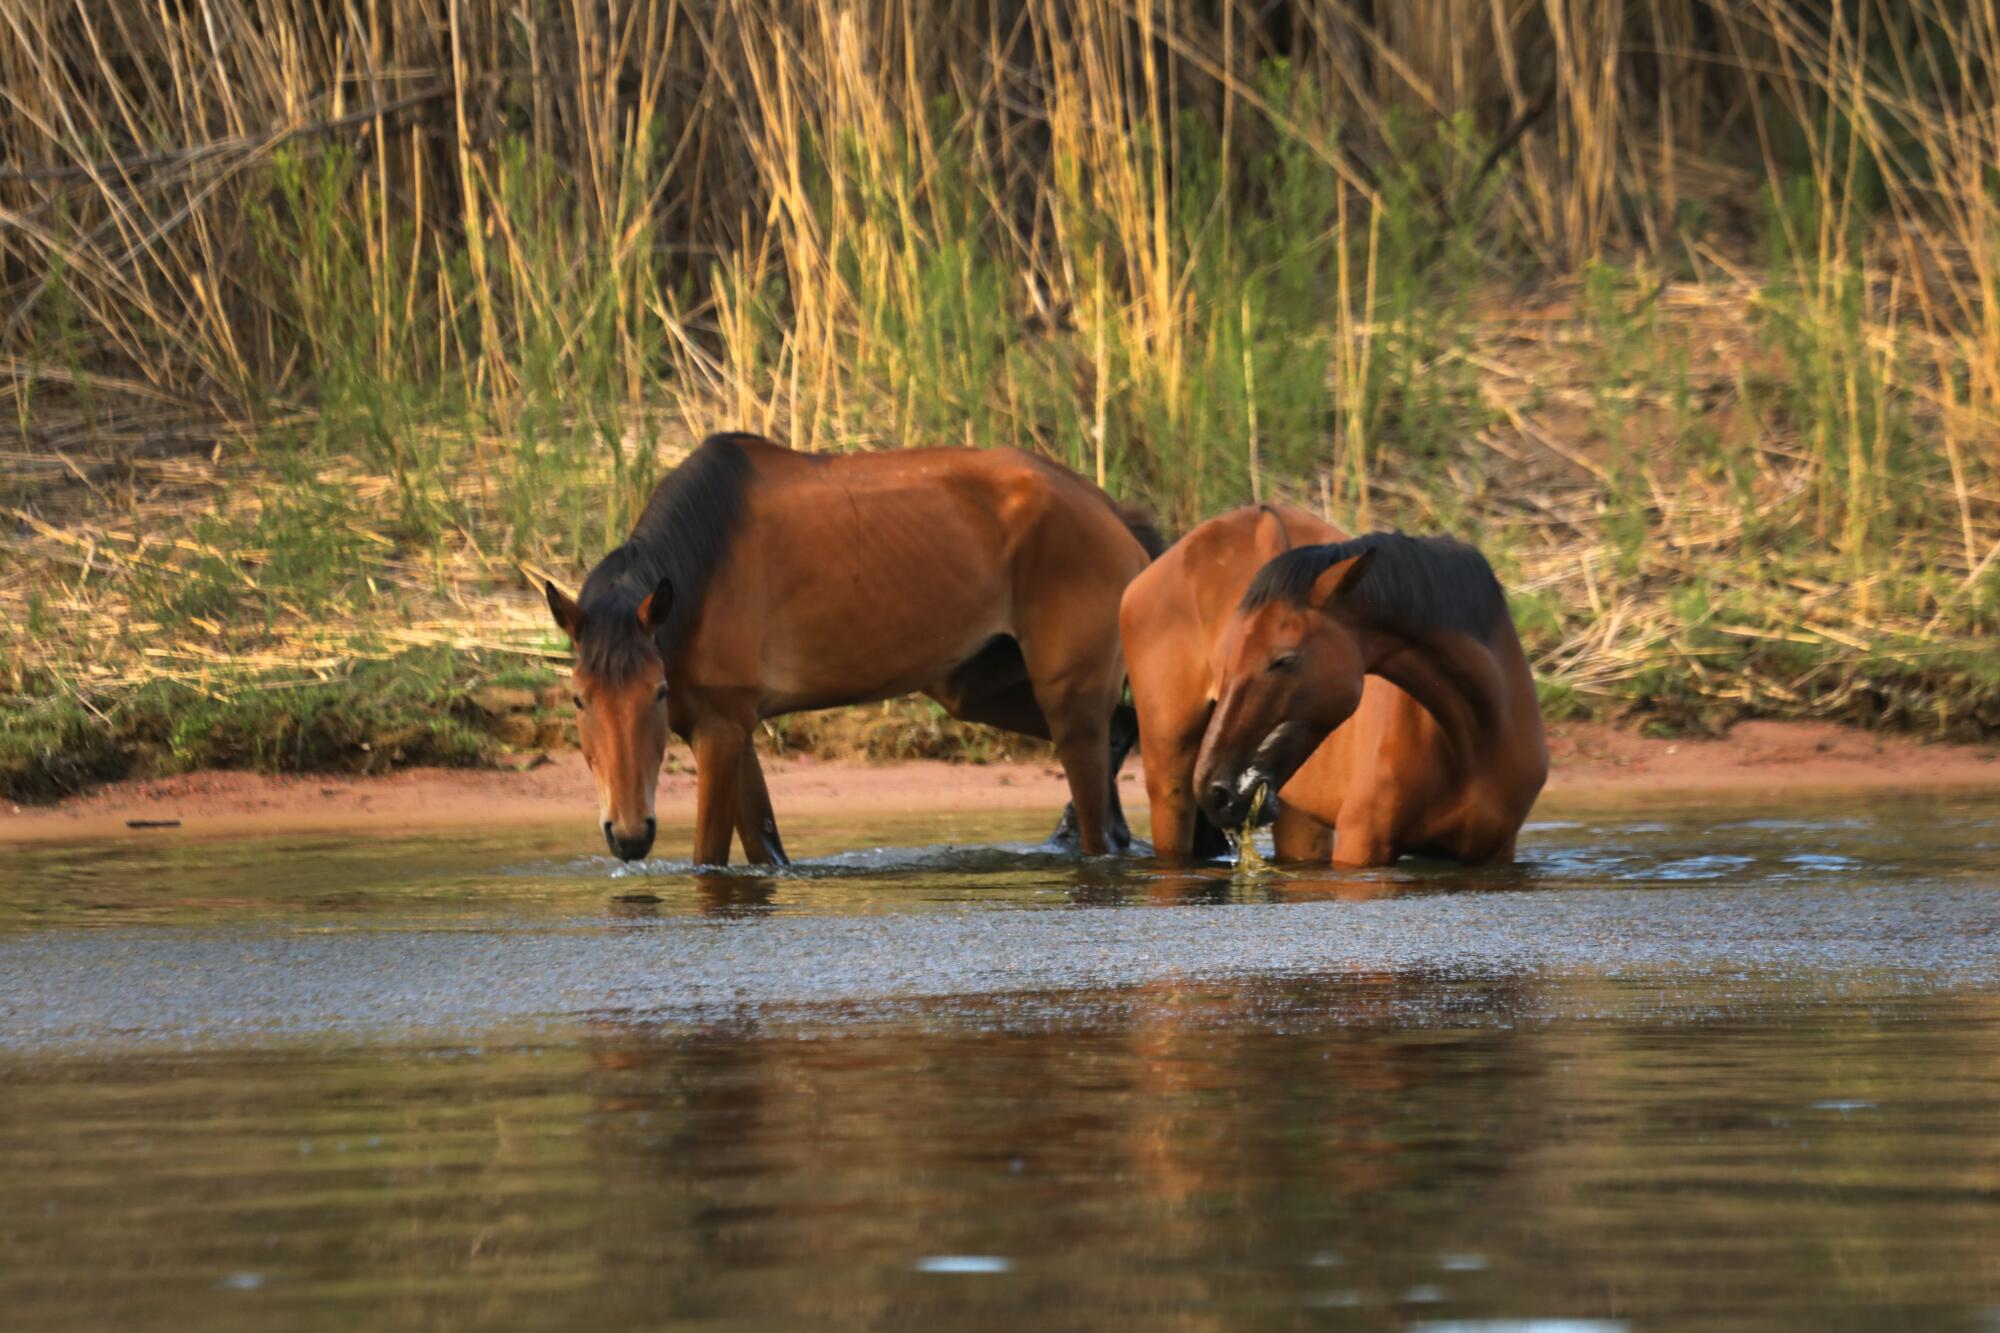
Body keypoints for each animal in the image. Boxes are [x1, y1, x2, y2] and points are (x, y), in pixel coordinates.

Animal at [544, 430, 1160, 856]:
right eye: (578, 699)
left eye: (656, 692)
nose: (628, 834)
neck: (708, 562)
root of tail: (1111, 511)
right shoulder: (729, 730)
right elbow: (766, 849)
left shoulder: (719, 732)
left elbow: (711, 860)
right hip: (981, 690)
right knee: (1120, 734)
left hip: (1069, 703)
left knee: (1098, 821)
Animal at [1128, 504, 1544, 868]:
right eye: (1224, 660)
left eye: (1284, 659)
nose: (1217, 792)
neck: (1474, 737)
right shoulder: (1362, 843)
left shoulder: (1495, 852)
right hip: (1169, 781)